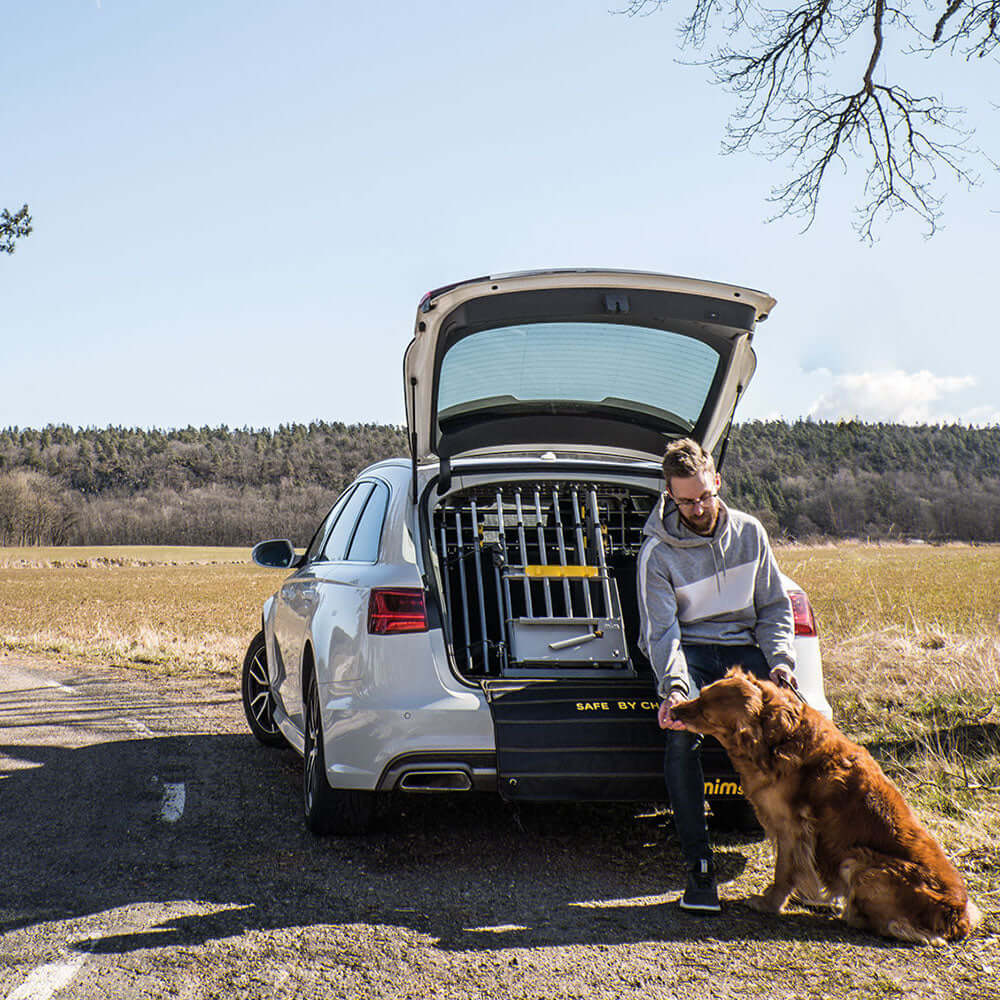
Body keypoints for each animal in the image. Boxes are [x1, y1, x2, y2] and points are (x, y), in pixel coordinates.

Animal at [672, 668, 984, 940]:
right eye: (701, 694)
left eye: (704, 709)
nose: (673, 710)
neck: (779, 737)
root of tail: (957, 916)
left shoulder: (792, 827)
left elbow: (784, 869)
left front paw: (770, 903)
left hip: (859, 864)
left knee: (897, 927)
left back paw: (852, 913)